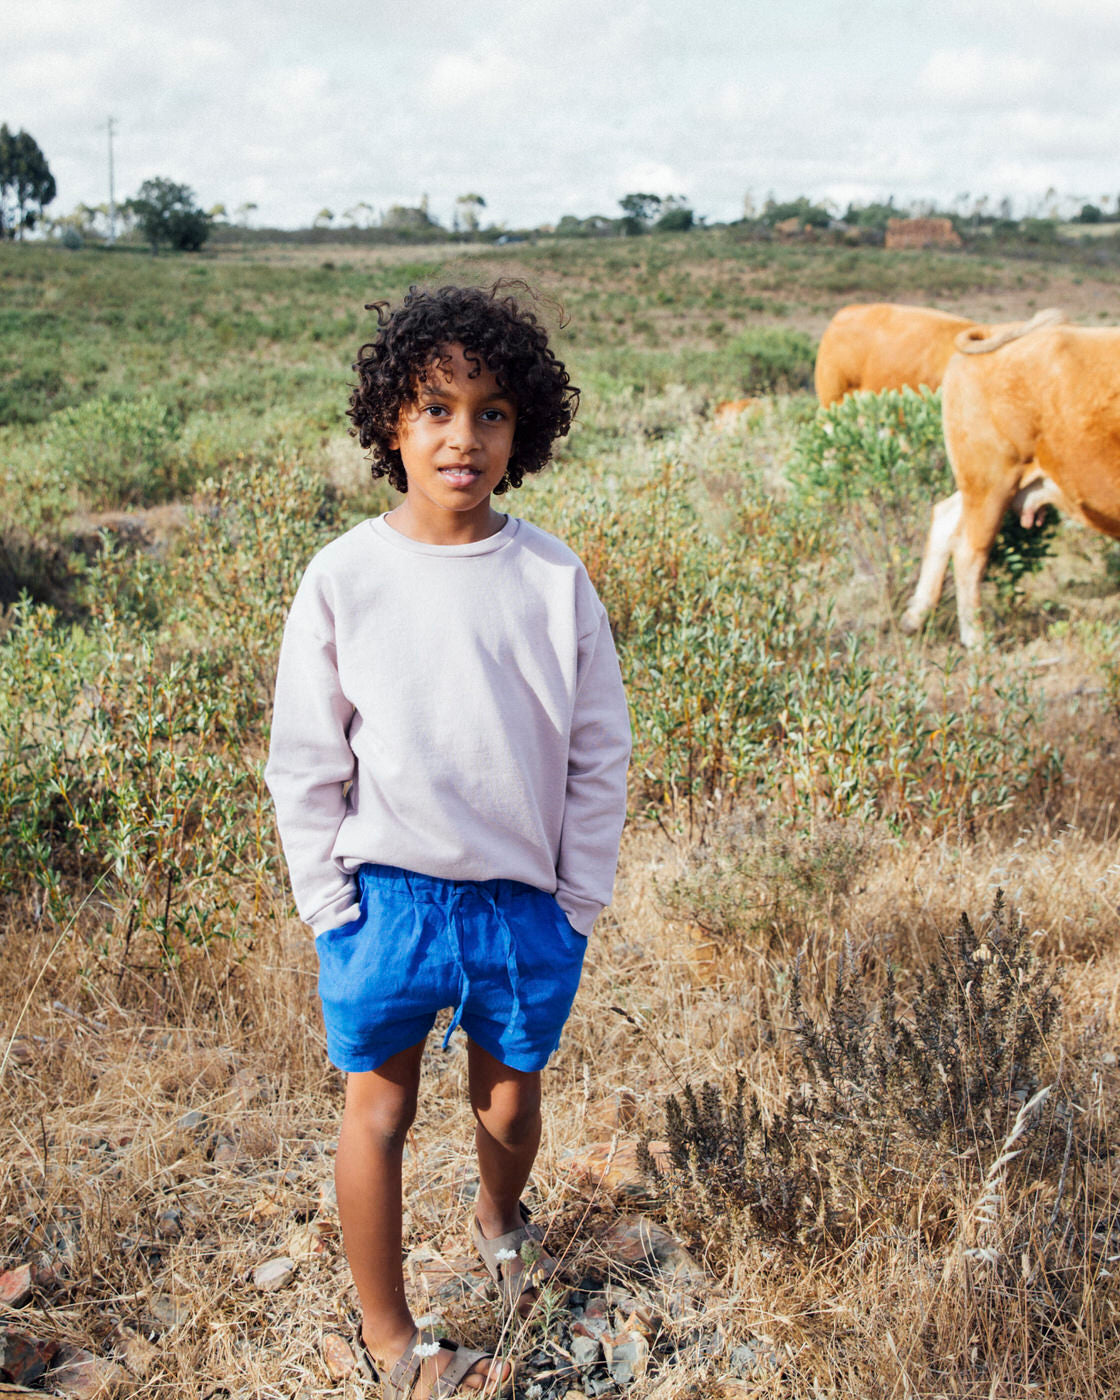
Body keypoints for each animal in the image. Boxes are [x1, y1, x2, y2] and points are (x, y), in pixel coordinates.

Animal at [907, 309, 1114, 646]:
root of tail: (998, 329)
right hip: (991, 482)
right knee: (969, 552)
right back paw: (976, 638)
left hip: (984, 484)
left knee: (945, 517)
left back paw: (914, 617)